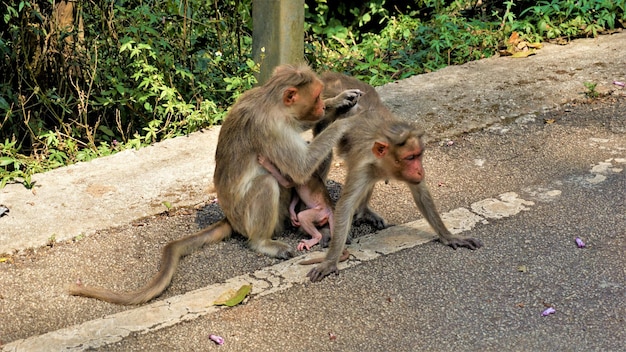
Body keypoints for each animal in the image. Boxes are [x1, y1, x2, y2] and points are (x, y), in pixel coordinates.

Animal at [69, 64, 364, 304]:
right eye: (315, 96)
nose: (320, 106)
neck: (272, 104)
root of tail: (230, 219)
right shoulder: (271, 128)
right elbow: (299, 171)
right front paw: (347, 120)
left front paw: (340, 101)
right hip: (247, 218)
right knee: (267, 183)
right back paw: (264, 242)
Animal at [304, 73, 480, 282]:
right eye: (409, 158)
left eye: (419, 155)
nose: (420, 171)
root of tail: (330, 76)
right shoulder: (363, 166)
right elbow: (345, 206)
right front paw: (330, 262)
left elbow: (421, 193)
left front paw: (449, 236)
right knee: (324, 152)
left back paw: (364, 211)